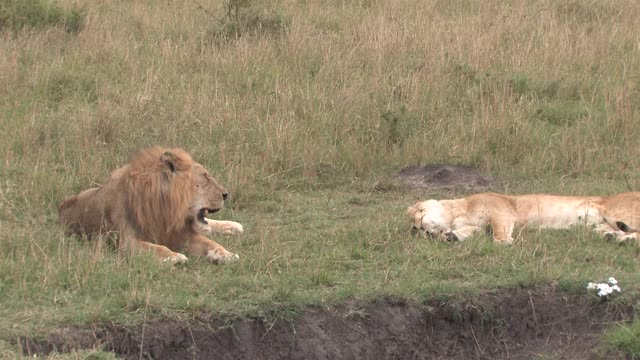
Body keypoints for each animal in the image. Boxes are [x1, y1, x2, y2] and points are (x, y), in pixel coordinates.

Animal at [58, 147, 244, 264]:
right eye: (205, 177)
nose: (226, 194)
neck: (166, 210)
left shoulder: (181, 233)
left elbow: (211, 243)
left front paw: (226, 254)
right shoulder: (126, 242)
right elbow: (156, 247)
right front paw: (174, 257)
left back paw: (234, 226)